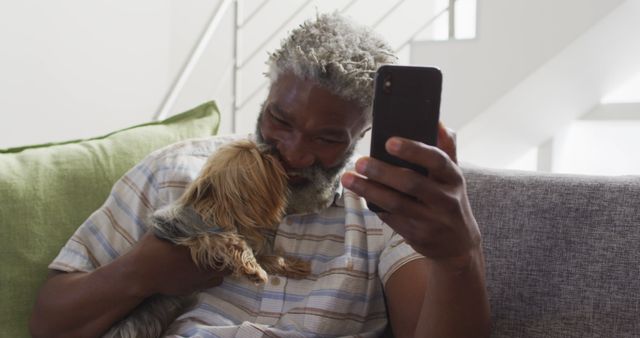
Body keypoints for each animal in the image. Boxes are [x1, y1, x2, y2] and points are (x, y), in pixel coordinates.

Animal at [104, 139, 312, 336]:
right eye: (260, 156)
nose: (274, 150)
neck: (219, 208)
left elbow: (267, 257)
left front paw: (294, 265)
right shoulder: (200, 238)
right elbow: (233, 241)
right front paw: (254, 270)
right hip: (136, 323)